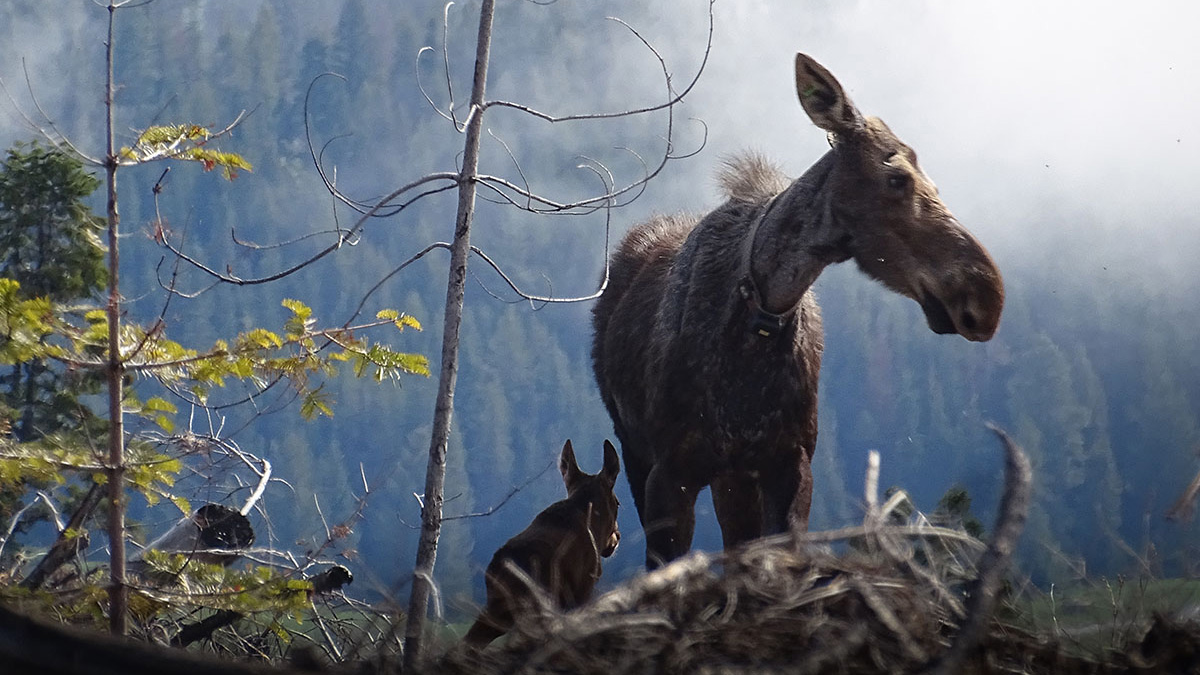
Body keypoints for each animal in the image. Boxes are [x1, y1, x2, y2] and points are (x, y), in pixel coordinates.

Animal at [590, 53, 1003, 566]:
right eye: (897, 177)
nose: (985, 295)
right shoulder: (670, 471)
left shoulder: (788, 463)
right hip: (636, 449)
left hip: (733, 478)